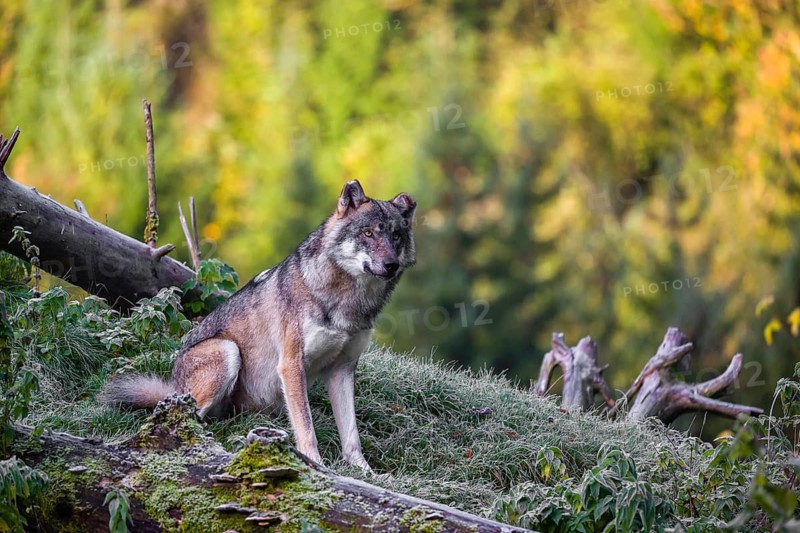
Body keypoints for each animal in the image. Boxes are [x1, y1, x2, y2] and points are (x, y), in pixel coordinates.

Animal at [101, 180, 416, 470]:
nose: (390, 265)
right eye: (368, 233)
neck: (347, 300)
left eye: (396, 236)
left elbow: (352, 435)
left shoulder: (343, 369)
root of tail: (172, 387)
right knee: (183, 419)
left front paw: (366, 474)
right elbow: (306, 427)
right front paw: (315, 464)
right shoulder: (291, 365)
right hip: (227, 351)